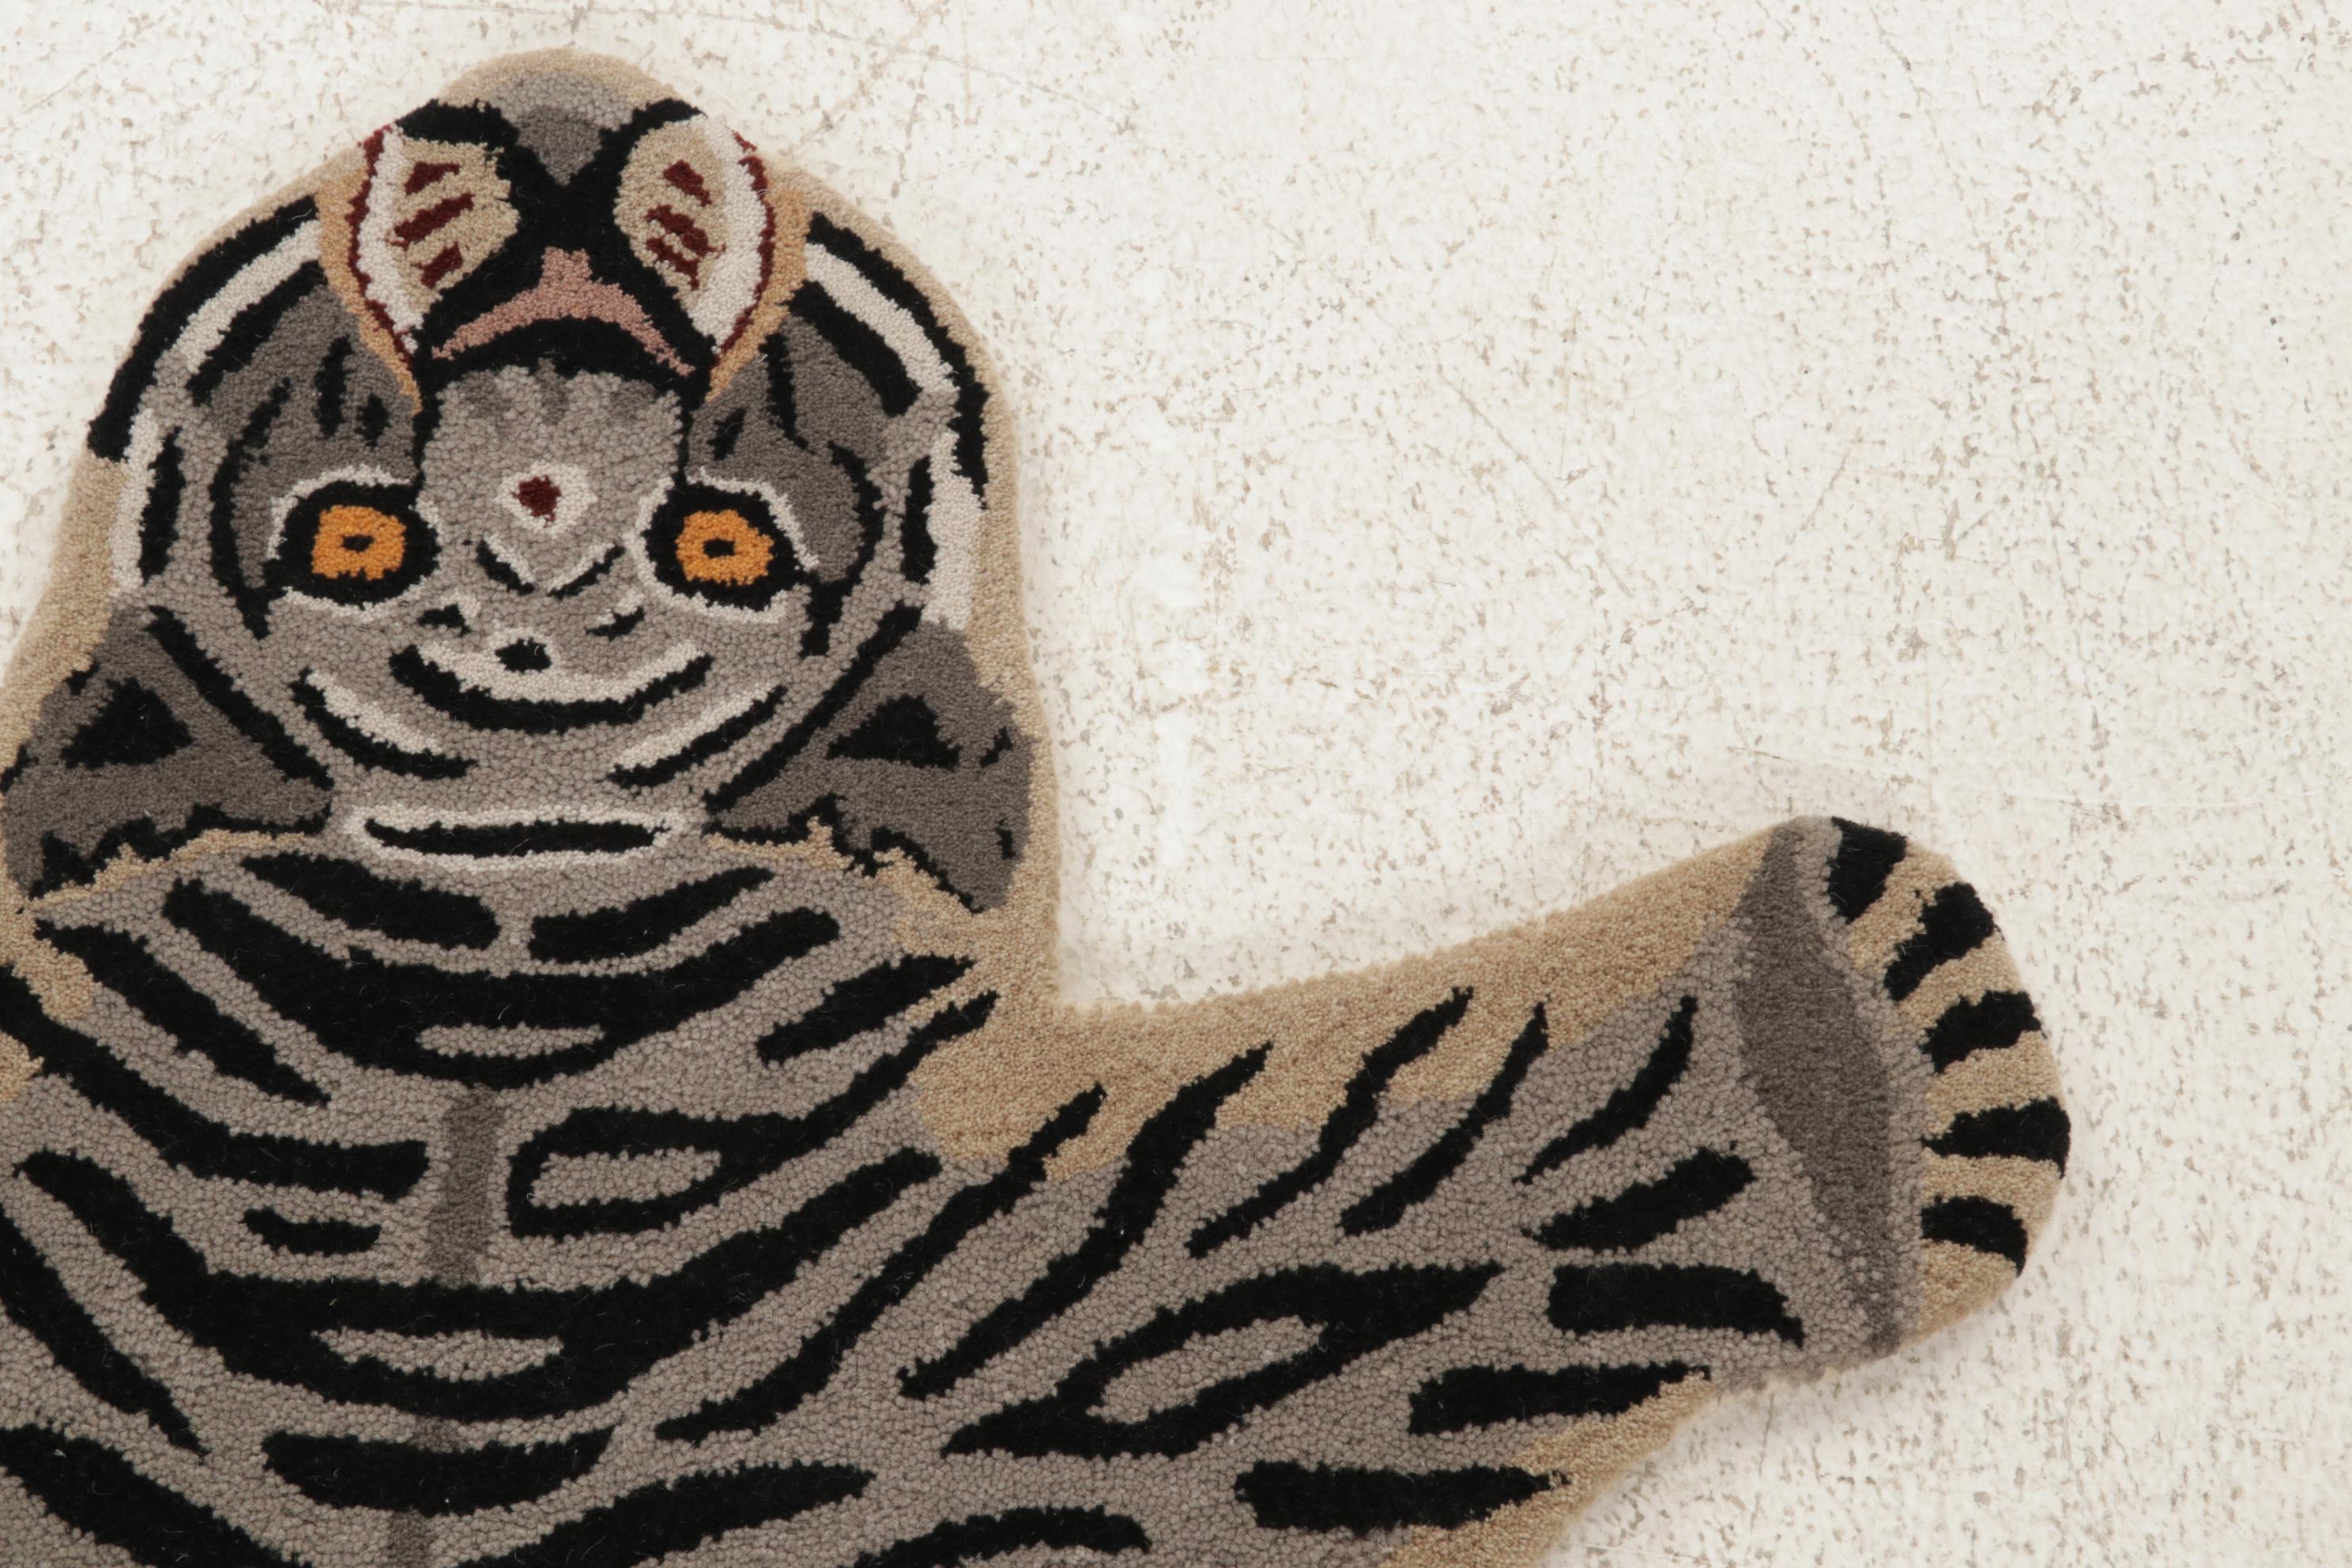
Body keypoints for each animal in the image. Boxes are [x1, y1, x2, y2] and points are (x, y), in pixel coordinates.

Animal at [0, 50, 2068, 1568]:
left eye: (721, 539)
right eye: (352, 535)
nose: (566, 116)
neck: (502, 939)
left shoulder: (1044, 1335)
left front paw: (1852, 1041)